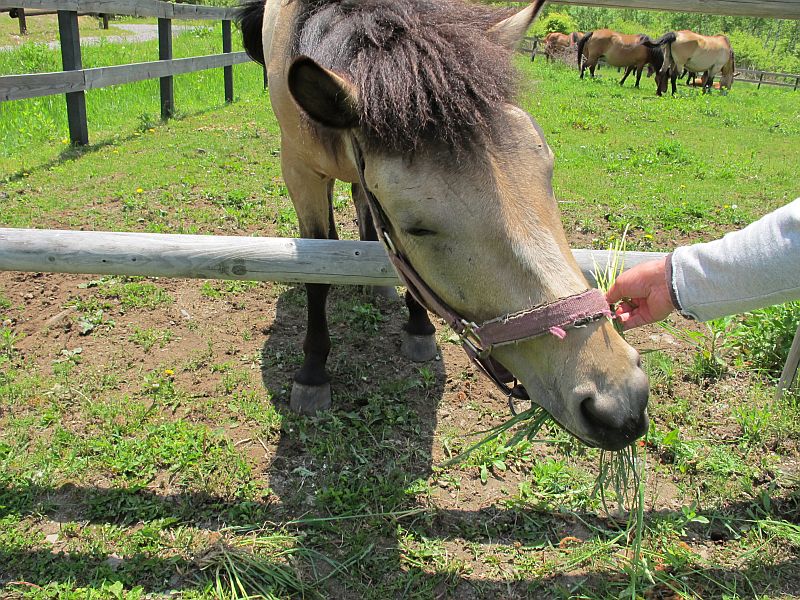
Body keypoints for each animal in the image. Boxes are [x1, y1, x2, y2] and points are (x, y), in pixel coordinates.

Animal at [234, 0, 648, 450]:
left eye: (548, 171)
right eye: (417, 228)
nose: (617, 401)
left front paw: (418, 327)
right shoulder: (299, 174)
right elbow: (317, 273)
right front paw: (312, 373)